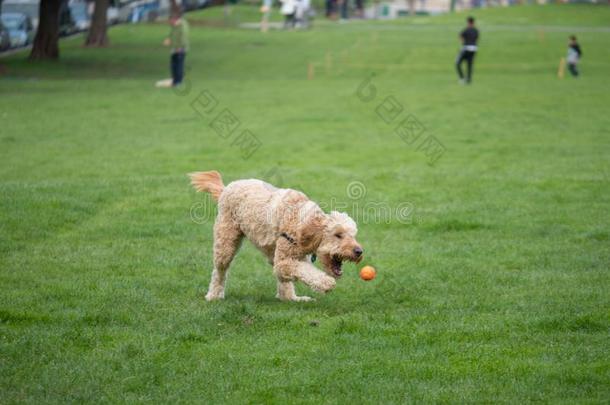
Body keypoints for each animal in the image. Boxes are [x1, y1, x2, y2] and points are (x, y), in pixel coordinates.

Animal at [189, 170, 360, 300]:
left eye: (353, 235)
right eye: (338, 235)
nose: (359, 251)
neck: (300, 221)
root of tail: (226, 188)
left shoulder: (295, 256)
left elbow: (297, 273)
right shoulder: (285, 260)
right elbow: (305, 272)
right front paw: (326, 282)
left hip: (270, 251)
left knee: (282, 280)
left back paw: (291, 298)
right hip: (225, 243)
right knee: (219, 271)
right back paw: (214, 295)